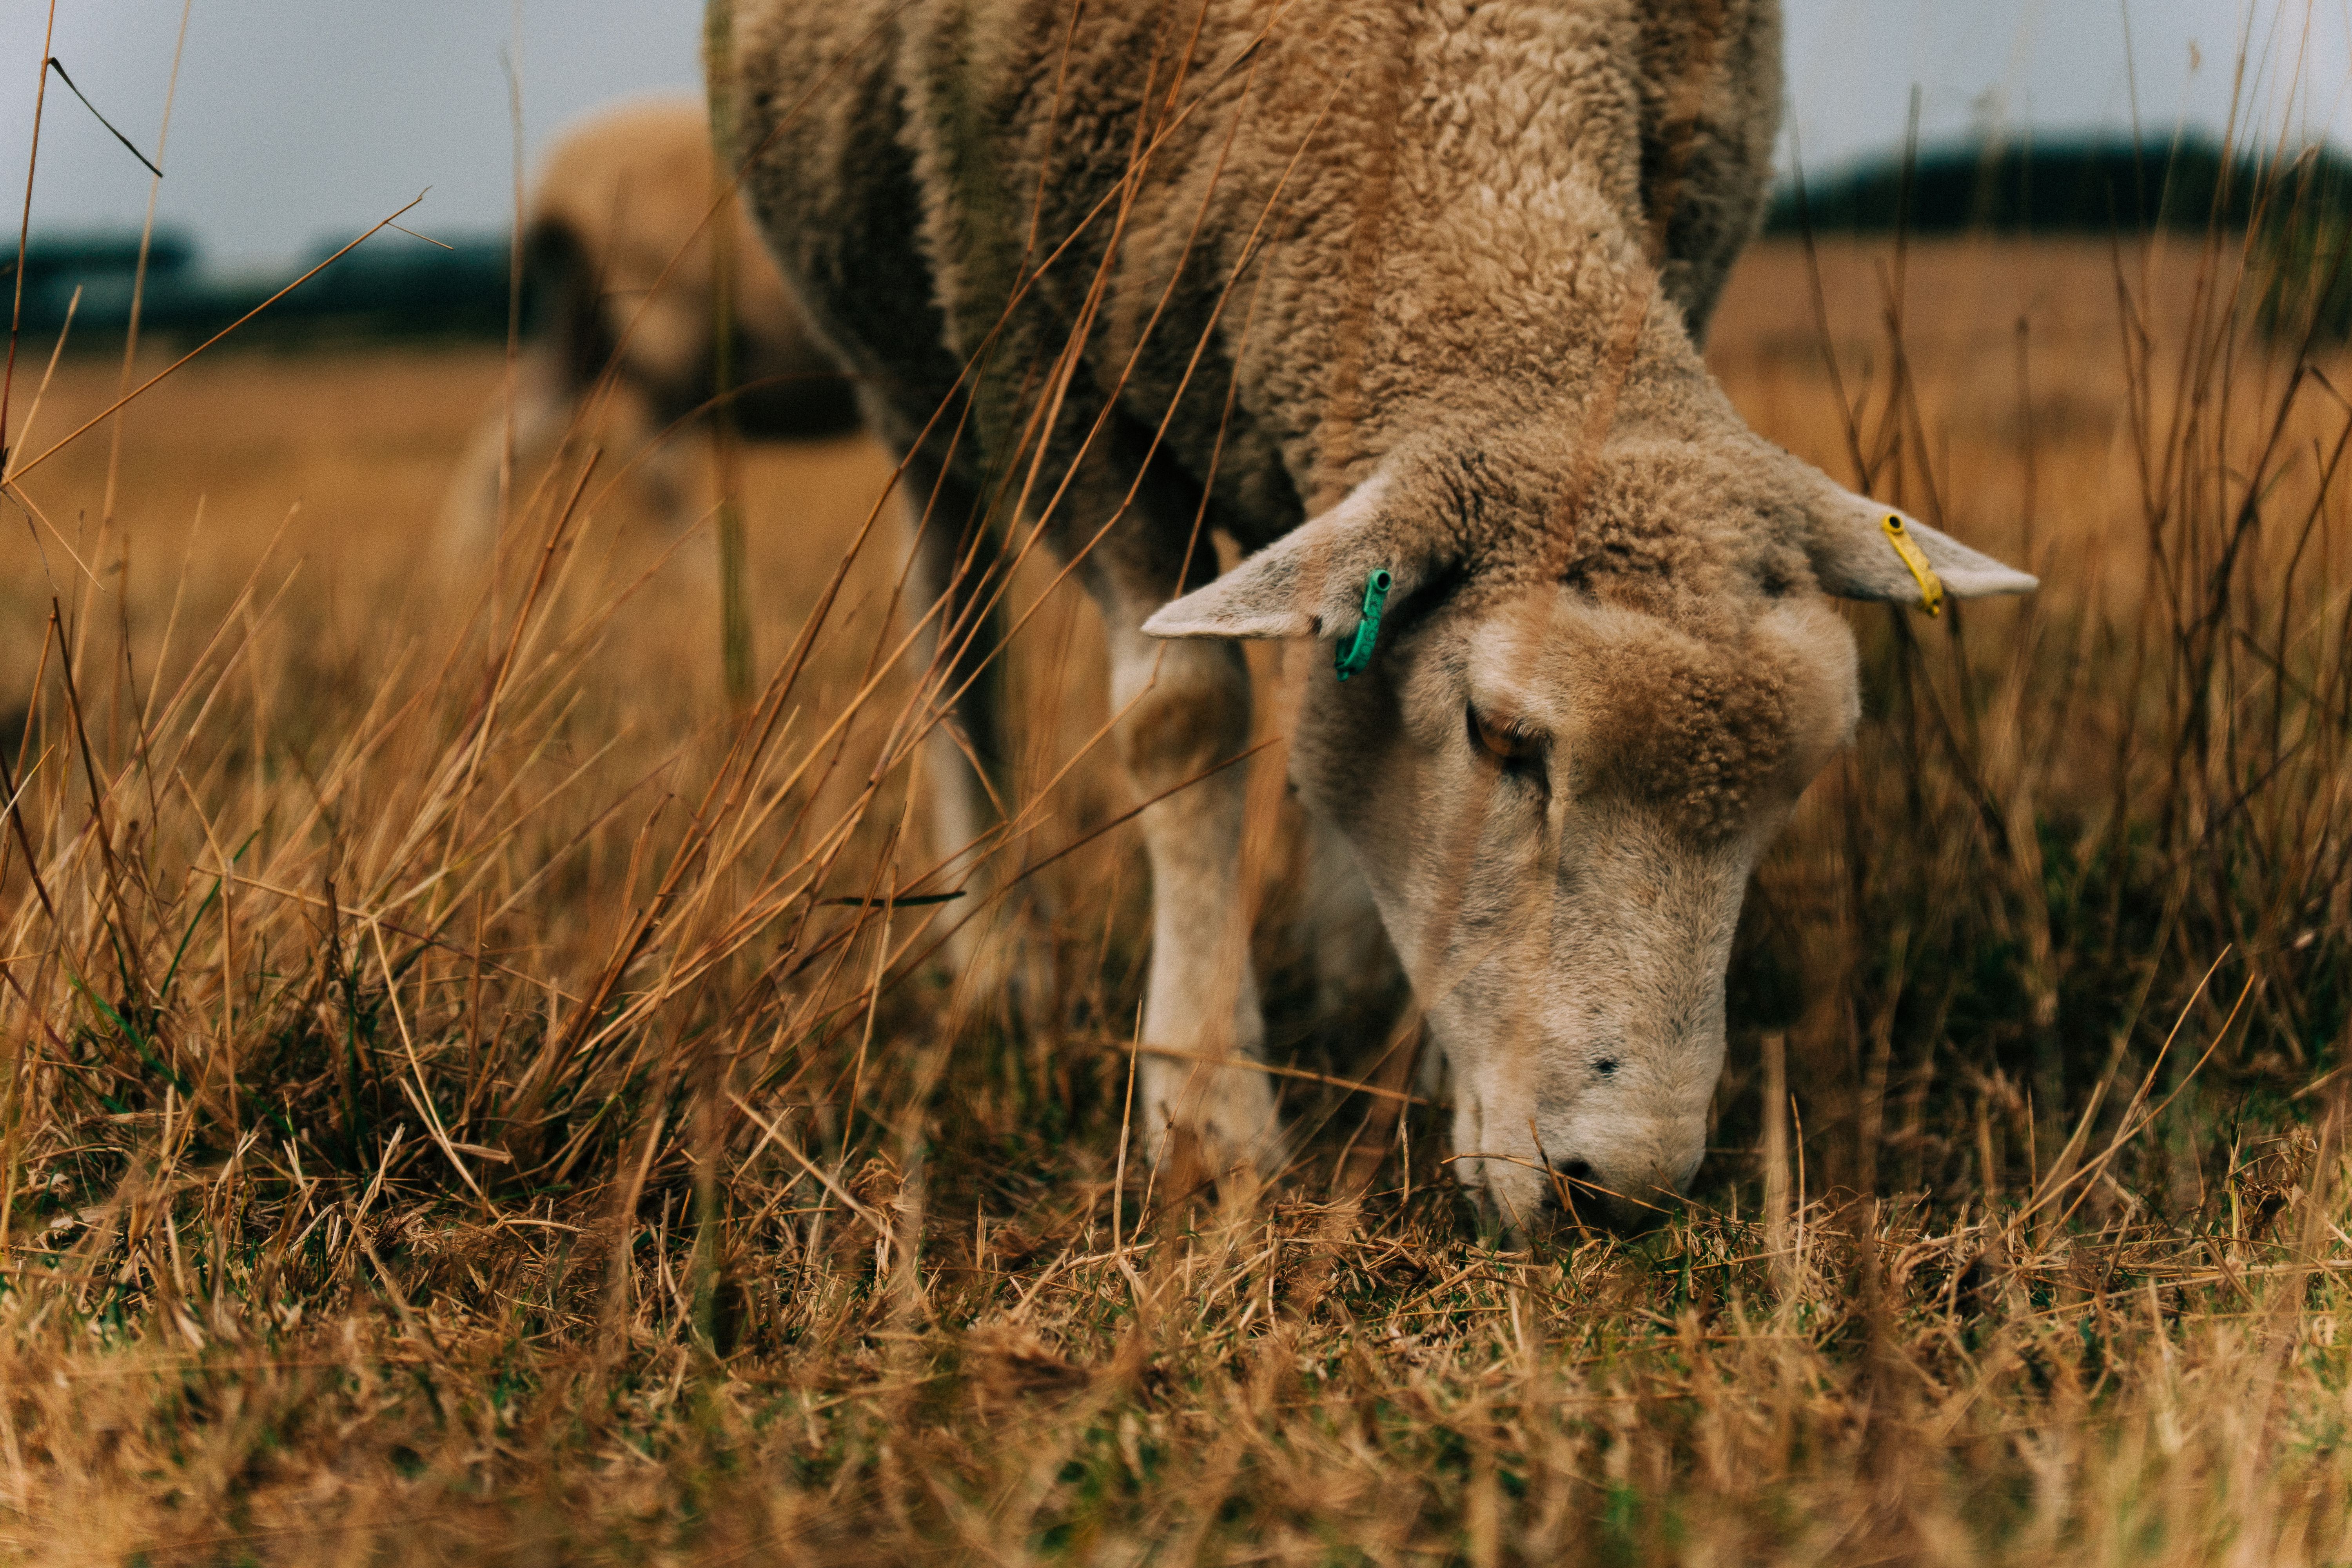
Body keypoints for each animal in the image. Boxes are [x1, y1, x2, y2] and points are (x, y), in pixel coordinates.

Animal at [441, 95, 856, 554]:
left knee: (506, 429)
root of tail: (561, 180)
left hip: (579, 323)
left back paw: (462, 566)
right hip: (664, 321)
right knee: (660, 468)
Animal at [719, 0, 2035, 1228]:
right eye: (1504, 739)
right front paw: (1208, 1112)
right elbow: (1179, 717)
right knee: (958, 622)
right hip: (909, 379)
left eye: (1798, 782)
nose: (1622, 1192)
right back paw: (999, 954)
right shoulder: (1050, 367)